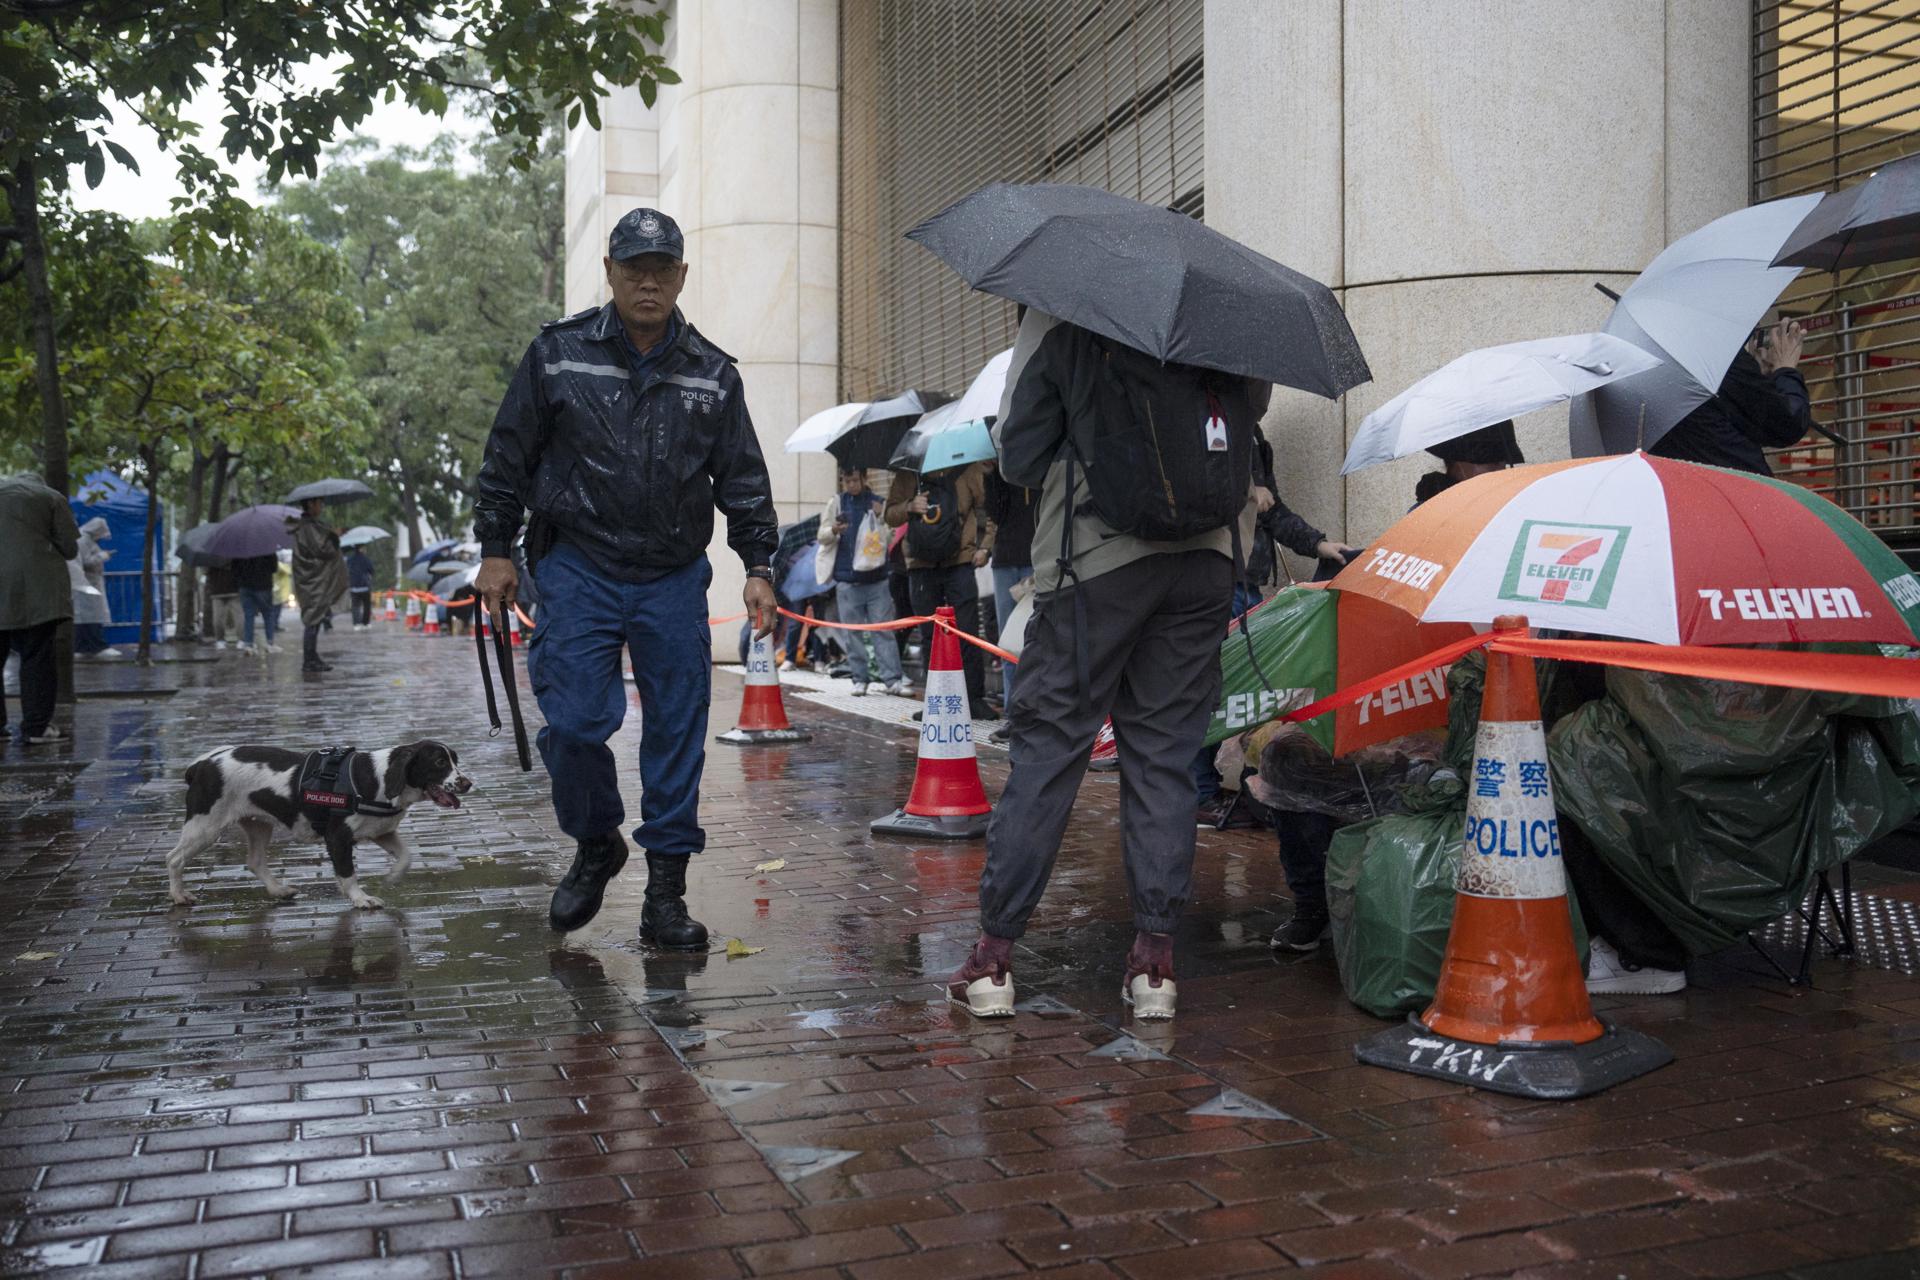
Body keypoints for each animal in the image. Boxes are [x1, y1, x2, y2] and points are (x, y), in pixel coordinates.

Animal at [169, 740, 476, 909]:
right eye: (440, 762)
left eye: (455, 760)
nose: (468, 783)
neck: (378, 778)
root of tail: (201, 765)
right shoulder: (337, 837)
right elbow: (347, 872)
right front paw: (360, 899)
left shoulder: (383, 832)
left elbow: (406, 856)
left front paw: (391, 878)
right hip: (205, 827)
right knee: (173, 858)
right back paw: (179, 896)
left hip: (258, 825)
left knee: (255, 861)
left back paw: (278, 890)